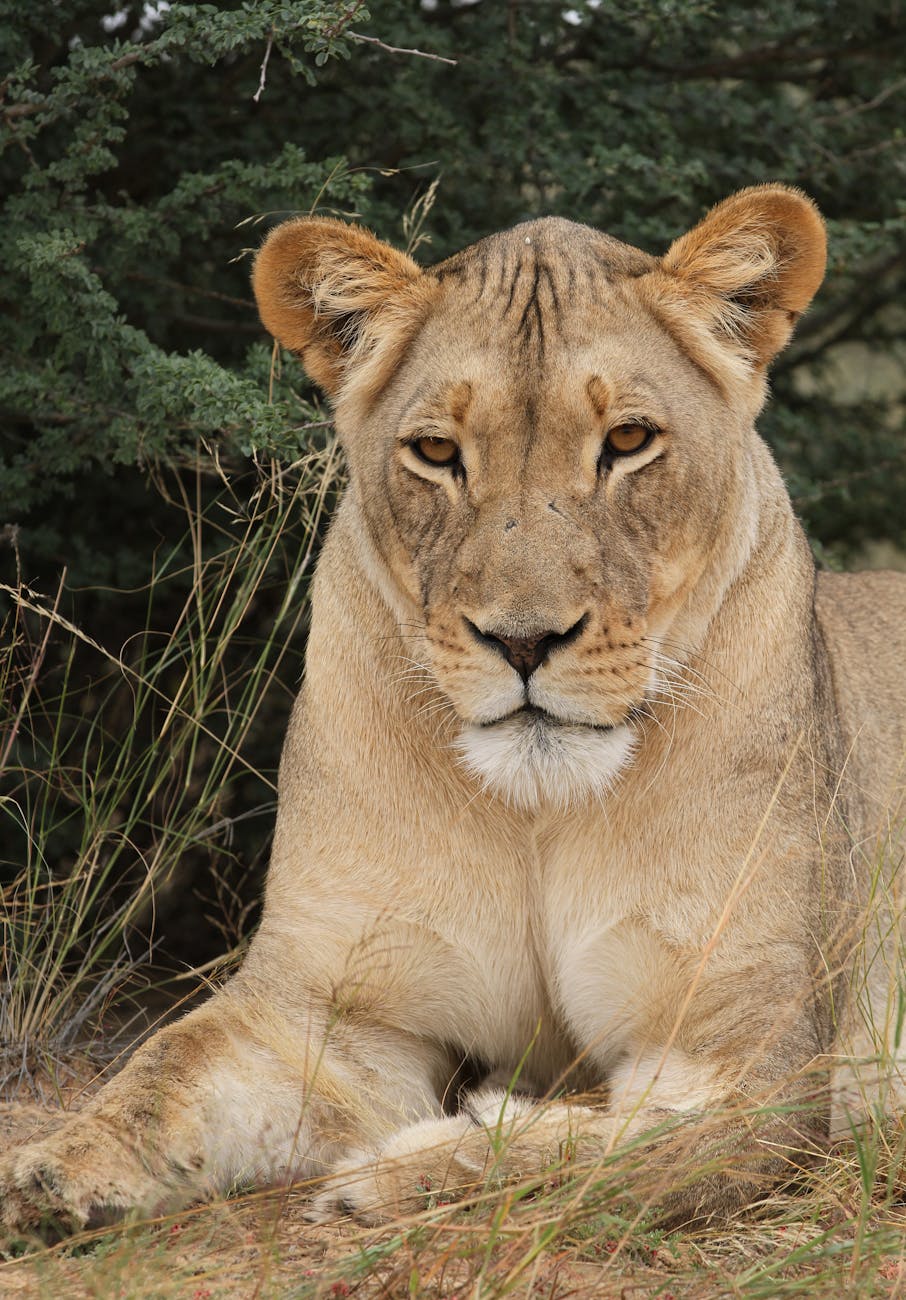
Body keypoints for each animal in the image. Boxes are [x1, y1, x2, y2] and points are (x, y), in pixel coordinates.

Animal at [3, 185, 906, 1234]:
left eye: (628, 442)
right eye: (437, 452)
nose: (523, 641)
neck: (538, 815)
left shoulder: (755, 1060)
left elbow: (584, 1159)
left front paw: (397, 1171)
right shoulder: (326, 1004)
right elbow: (167, 1068)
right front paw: (51, 1170)